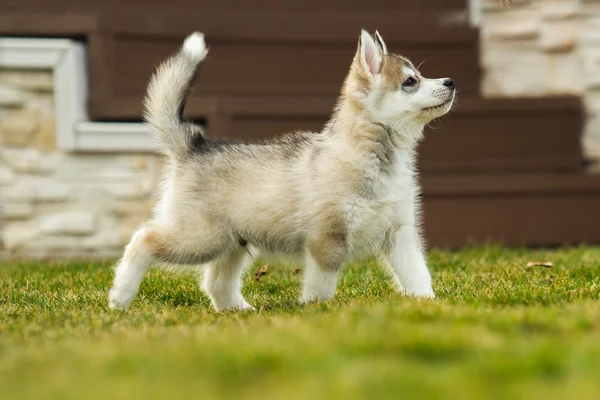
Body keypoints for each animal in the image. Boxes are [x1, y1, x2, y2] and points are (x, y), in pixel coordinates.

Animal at [109, 29, 454, 310]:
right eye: (410, 82)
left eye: (419, 75)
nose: (450, 81)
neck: (375, 156)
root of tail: (196, 145)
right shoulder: (327, 239)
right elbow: (322, 284)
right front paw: (317, 310)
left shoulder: (400, 232)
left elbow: (418, 273)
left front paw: (428, 304)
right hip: (201, 239)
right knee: (142, 239)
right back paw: (121, 295)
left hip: (232, 243)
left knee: (216, 283)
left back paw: (240, 310)